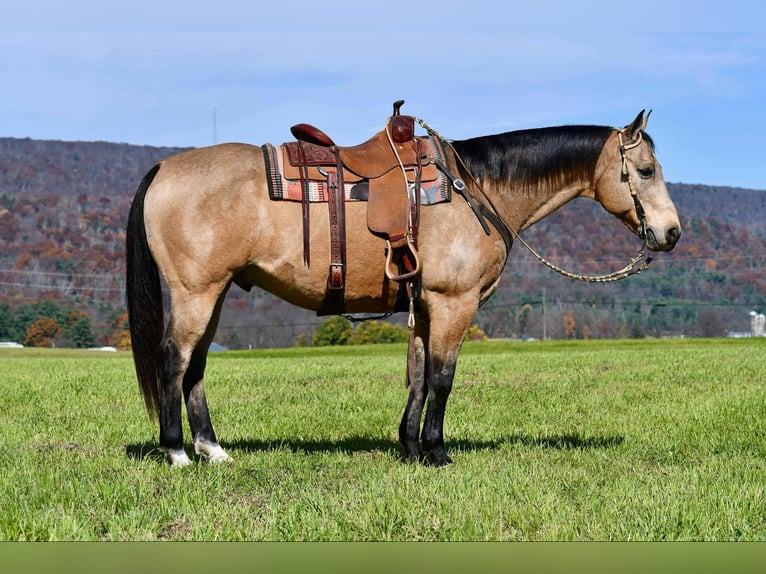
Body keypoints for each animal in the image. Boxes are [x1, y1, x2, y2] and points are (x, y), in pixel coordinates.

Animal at [126, 106, 684, 470]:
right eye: (645, 170)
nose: (672, 233)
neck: (475, 189)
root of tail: (164, 168)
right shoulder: (453, 303)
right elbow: (442, 378)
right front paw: (437, 452)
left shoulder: (423, 306)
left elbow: (417, 378)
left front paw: (410, 448)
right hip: (196, 293)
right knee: (174, 361)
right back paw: (177, 452)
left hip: (214, 294)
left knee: (196, 366)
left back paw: (213, 449)